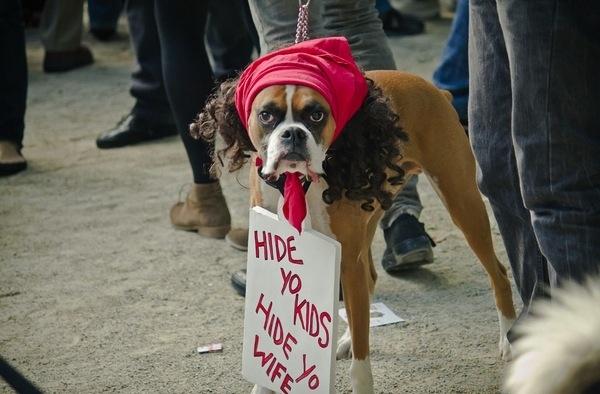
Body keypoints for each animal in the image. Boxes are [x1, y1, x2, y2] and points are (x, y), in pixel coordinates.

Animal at [191, 36, 516, 390]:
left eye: (316, 115)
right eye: (266, 115)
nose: (293, 133)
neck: (299, 181)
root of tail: (434, 90)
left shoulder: (347, 260)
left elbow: (362, 361)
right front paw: (265, 382)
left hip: (462, 204)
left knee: (499, 273)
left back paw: (510, 339)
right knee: (370, 281)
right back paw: (346, 338)